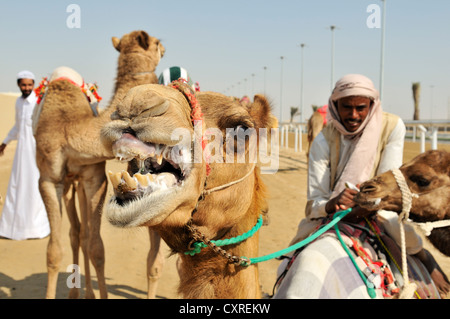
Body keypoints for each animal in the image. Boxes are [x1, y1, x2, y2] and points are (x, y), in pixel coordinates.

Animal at [34, 30, 165, 300]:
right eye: (157, 43)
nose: (165, 49)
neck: (70, 127)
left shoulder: (95, 177)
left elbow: (97, 248)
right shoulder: (48, 179)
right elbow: (53, 252)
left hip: (79, 183)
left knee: (83, 234)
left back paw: (87, 294)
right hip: (68, 185)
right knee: (75, 233)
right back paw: (76, 293)